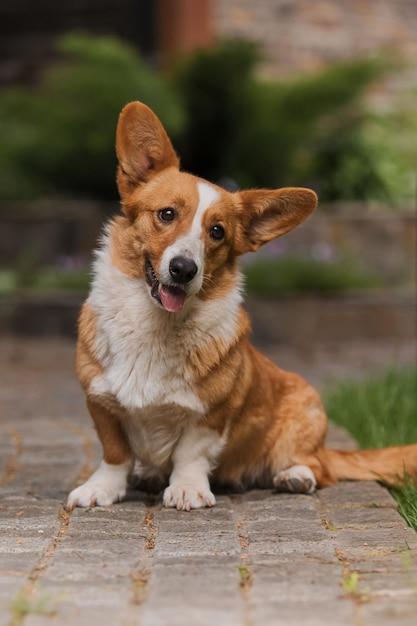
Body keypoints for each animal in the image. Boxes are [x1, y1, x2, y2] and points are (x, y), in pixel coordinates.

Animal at [66, 102, 414, 510]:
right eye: (166, 214)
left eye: (217, 232)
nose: (184, 269)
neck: (156, 323)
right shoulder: (100, 400)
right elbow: (115, 453)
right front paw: (100, 488)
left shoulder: (212, 412)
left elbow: (190, 454)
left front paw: (187, 489)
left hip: (304, 412)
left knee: (318, 467)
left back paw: (295, 476)